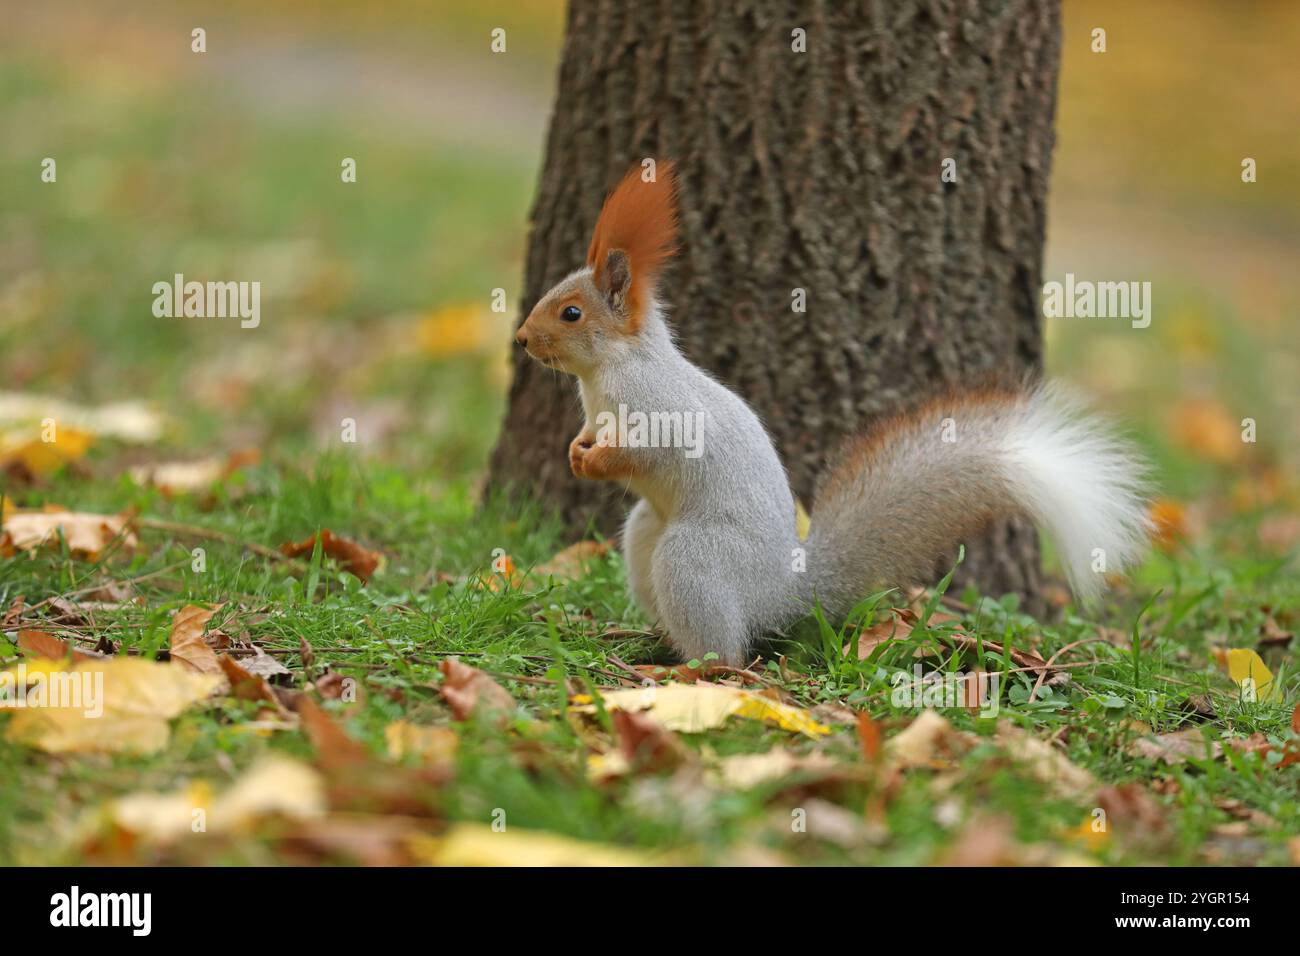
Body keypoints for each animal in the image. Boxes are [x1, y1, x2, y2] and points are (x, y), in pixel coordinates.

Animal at [514, 160, 1152, 667]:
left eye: (570, 313)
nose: (520, 339)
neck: (608, 369)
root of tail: (781, 592)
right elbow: (588, 434)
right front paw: (576, 451)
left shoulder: (659, 409)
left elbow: (644, 451)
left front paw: (596, 463)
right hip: (646, 534)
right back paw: (650, 642)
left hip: (694, 557)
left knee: (729, 651)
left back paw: (691, 669)